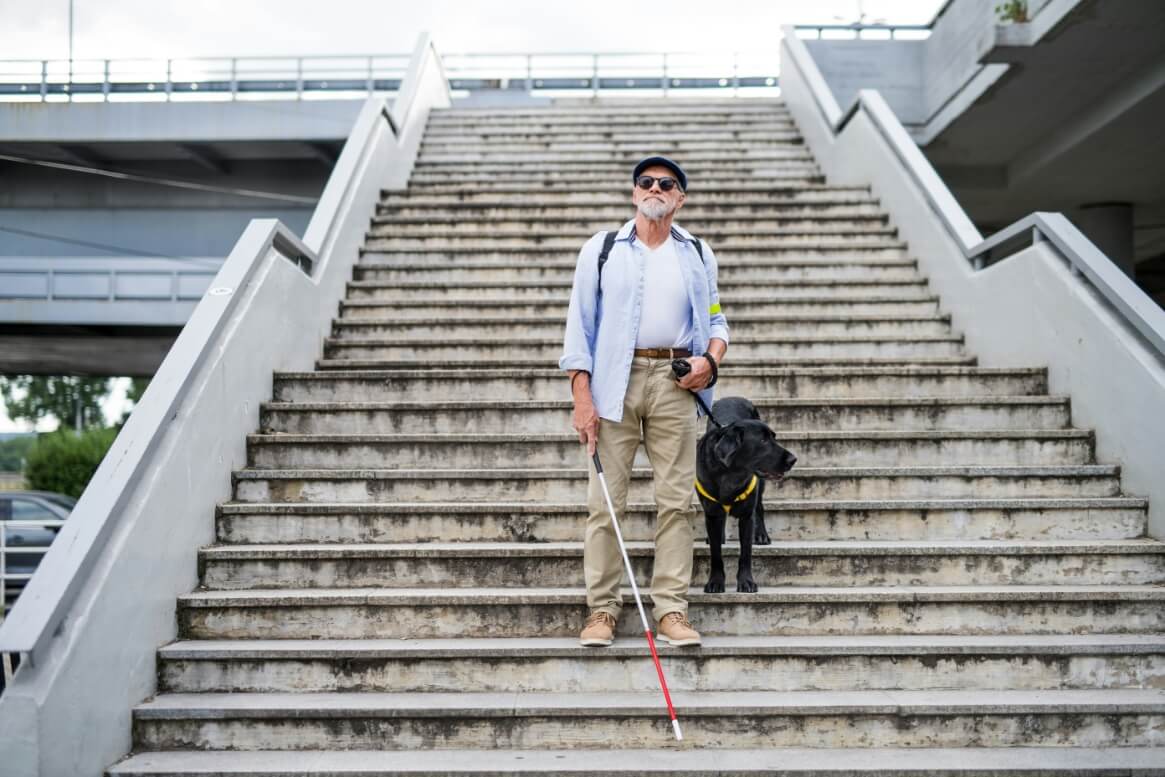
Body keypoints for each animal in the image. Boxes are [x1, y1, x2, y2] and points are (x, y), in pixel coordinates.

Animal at [689, 398, 792, 591]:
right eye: (762, 440)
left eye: (773, 437)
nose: (793, 459)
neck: (730, 473)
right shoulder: (711, 513)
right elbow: (716, 553)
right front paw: (715, 582)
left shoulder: (746, 516)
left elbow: (745, 553)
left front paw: (746, 582)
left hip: (760, 484)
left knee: (759, 508)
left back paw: (761, 535)